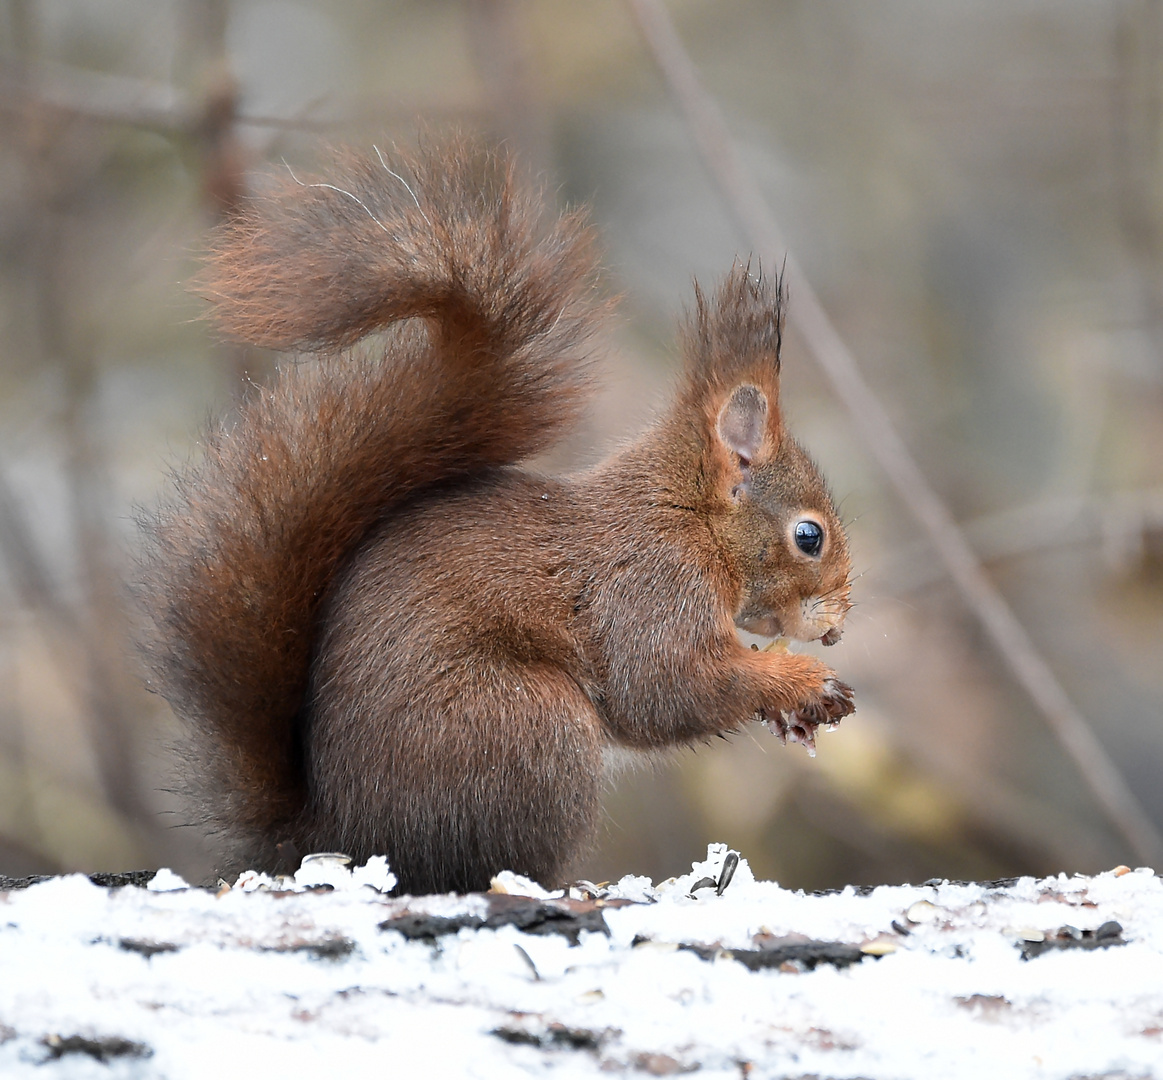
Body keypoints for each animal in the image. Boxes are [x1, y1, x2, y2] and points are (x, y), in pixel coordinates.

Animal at [143, 137, 855, 892]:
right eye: (808, 536)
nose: (838, 628)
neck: (688, 518)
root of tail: (338, 835)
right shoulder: (650, 586)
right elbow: (665, 687)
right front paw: (798, 681)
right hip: (528, 729)